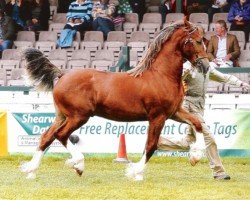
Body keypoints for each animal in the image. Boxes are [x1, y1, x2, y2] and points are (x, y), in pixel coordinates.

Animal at [20, 19, 210, 180]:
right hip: (78, 116)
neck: (161, 75)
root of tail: (62, 75)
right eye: (197, 41)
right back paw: (78, 164)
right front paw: (135, 172)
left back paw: (31, 170)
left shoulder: (175, 112)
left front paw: (196, 156)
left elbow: (197, 123)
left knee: (47, 137)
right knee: (61, 135)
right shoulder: (158, 116)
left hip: (62, 116)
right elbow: (151, 145)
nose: (205, 66)